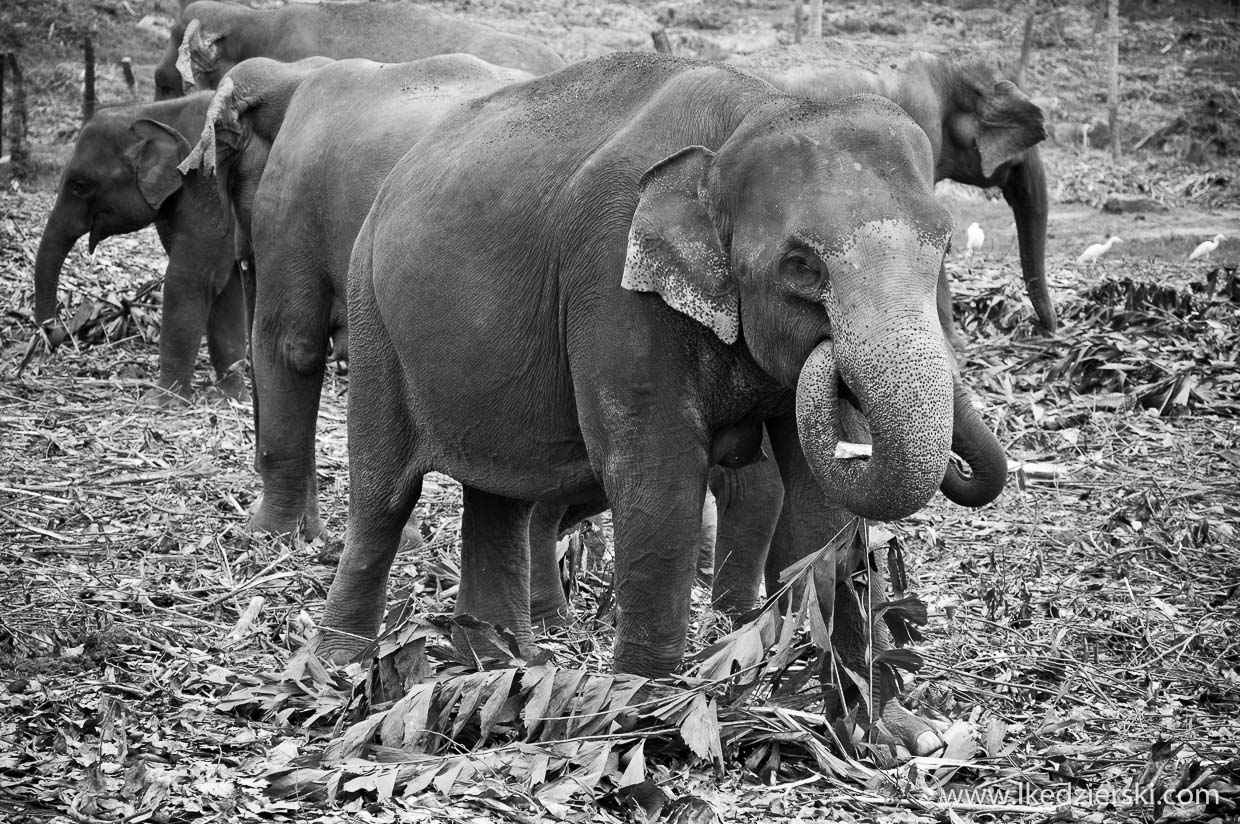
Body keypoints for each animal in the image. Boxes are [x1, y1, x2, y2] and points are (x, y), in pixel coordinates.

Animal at [33, 92, 246, 401]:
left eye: (79, 185)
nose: (54, 331)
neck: (151, 111)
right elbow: (225, 285)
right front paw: (231, 397)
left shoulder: (207, 179)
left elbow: (189, 278)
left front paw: (160, 401)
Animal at [322, 54, 1006, 718]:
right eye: (801, 265)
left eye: (945, 245)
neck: (748, 115)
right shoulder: (612, 280)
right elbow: (659, 473)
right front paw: (644, 705)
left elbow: (819, 504)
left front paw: (848, 710)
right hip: (372, 317)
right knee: (384, 498)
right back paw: (345, 662)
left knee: (500, 500)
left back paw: (496, 664)